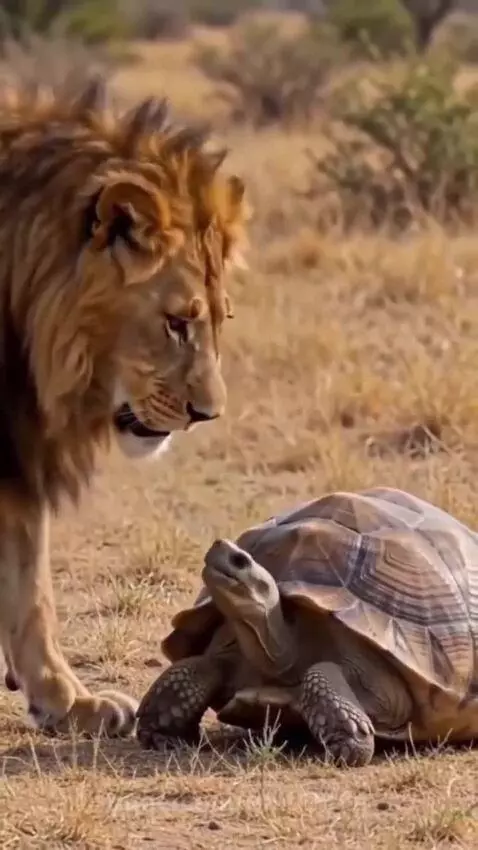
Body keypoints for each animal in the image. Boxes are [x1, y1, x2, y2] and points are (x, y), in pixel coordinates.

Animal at [0, 76, 249, 738]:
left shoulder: (17, 446)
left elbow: (29, 583)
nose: (208, 415)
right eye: (176, 322)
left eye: (221, 319)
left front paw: (65, 702)